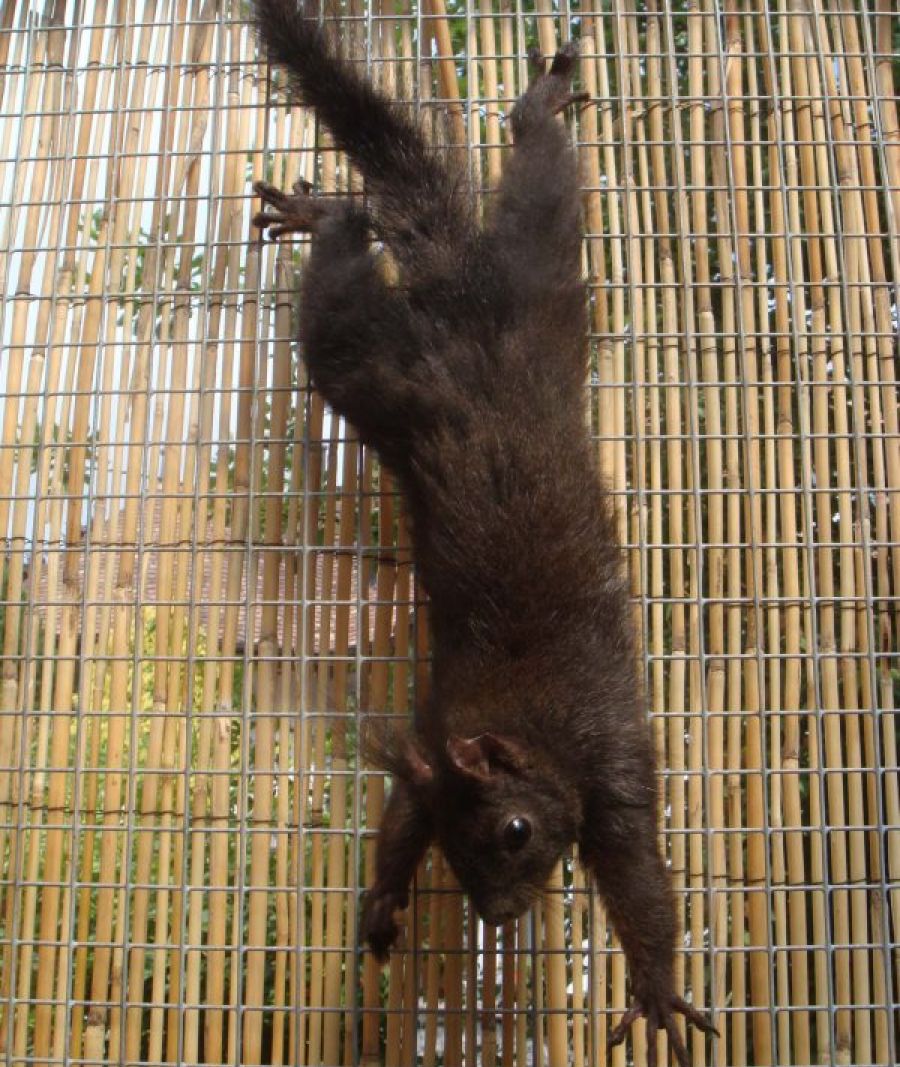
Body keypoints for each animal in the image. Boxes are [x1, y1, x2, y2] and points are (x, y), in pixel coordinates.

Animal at [251, 3, 716, 1063]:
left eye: (511, 834)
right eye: (456, 857)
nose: (500, 919)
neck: (513, 712)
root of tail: (461, 313)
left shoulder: (611, 752)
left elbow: (639, 875)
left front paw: (657, 987)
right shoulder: (432, 730)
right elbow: (401, 808)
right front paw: (385, 890)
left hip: (517, 298)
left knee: (538, 188)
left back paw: (520, 115)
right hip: (379, 385)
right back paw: (330, 216)